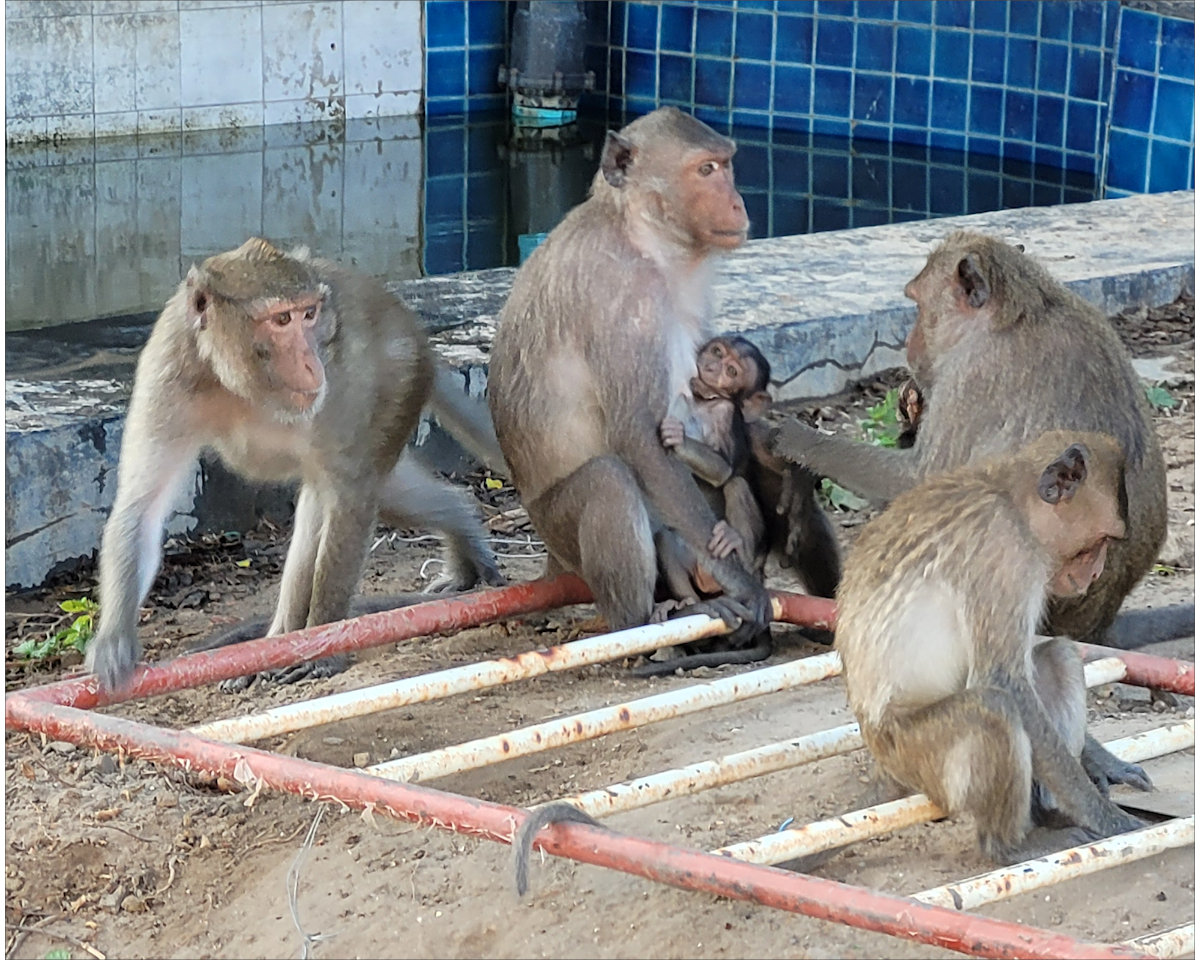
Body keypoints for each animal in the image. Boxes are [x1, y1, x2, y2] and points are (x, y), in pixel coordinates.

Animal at [84, 238, 506, 694]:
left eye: (309, 315)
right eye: (282, 319)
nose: (310, 362)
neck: (235, 380)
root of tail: (421, 338)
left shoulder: (349, 374)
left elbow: (352, 493)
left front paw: (326, 649)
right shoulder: (170, 365)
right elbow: (141, 506)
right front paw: (114, 641)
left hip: (398, 382)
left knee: (350, 489)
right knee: (358, 493)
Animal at [488, 107, 774, 671]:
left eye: (726, 163)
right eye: (706, 169)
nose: (737, 201)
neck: (642, 233)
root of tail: (551, 562)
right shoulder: (624, 300)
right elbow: (636, 437)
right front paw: (746, 588)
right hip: (560, 529)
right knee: (609, 480)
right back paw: (642, 627)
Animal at [771, 230, 1190, 652]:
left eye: (919, 306)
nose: (910, 343)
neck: (1019, 311)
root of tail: (1097, 625)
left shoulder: (969, 375)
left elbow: (915, 481)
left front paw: (796, 440)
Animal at [836, 431, 1150, 865]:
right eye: (1098, 543)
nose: (1096, 572)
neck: (1013, 502)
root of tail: (880, 758)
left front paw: (1102, 762)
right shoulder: (1003, 551)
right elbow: (1005, 681)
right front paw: (1108, 818)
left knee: (1059, 657)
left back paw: (1047, 812)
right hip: (914, 753)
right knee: (993, 708)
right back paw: (1008, 846)